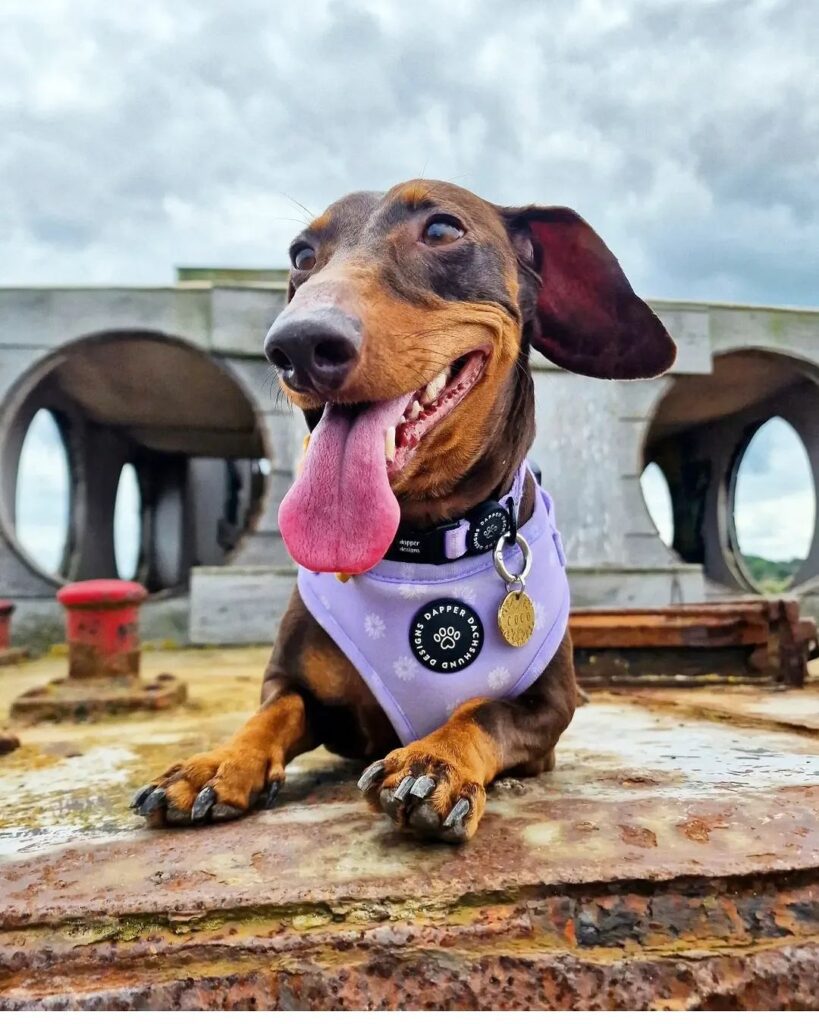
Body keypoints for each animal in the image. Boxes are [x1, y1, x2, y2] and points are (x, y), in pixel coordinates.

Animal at [133, 180, 671, 843]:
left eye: (442, 230)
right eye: (301, 254)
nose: (298, 344)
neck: (424, 541)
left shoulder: (547, 712)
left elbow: (484, 711)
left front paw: (434, 762)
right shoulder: (300, 689)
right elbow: (273, 711)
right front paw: (217, 762)